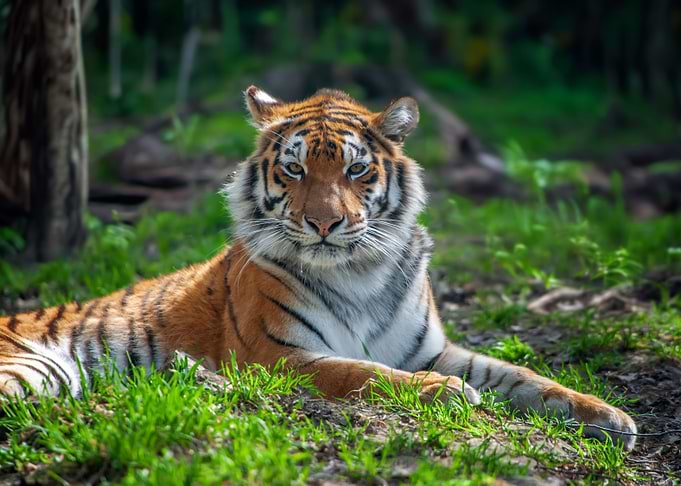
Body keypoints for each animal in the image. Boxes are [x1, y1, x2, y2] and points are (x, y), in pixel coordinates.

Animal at [0, 86, 637, 450]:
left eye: (356, 170)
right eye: (295, 169)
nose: (326, 223)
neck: (359, 272)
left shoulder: (429, 347)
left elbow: (520, 375)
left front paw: (607, 415)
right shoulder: (277, 356)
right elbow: (363, 374)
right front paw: (446, 393)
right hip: (30, 371)